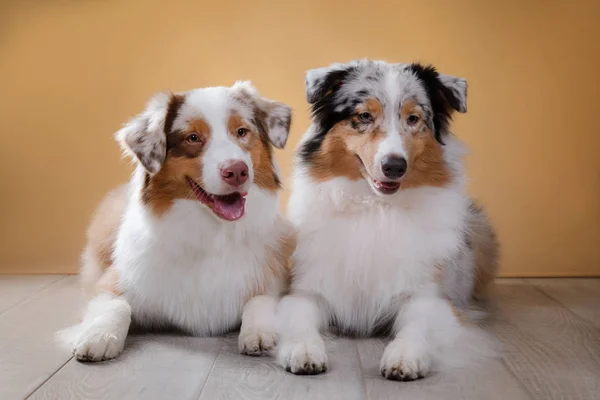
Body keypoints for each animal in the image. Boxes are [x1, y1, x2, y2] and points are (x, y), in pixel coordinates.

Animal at [58, 81, 296, 362]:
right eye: (193, 137)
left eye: (241, 131)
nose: (237, 171)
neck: (211, 233)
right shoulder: (114, 281)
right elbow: (115, 304)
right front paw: (100, 336)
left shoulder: (273, 276)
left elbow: (260, 300)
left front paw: (258, 331)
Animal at [278, 61, 500, 380]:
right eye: (364, 116)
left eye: (413, 118)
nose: (394, 166)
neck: (375, 207)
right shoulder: (308, 291)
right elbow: (298, 321)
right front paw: (304, 350)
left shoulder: (427, 297)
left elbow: (416, 327)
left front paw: (404, 356)